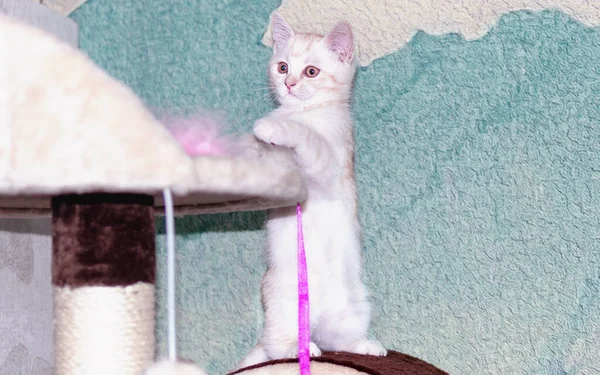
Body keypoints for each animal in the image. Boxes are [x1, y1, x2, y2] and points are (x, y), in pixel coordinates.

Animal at [237, 13, 386, 372]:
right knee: (278, 344)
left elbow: (308, 139)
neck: (307, 113)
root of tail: (315, 319)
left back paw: (366, 346)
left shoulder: (329, 161)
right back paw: (300, 347)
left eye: (311, 71)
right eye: (282, 67)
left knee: (338, 341)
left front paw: (272, 126)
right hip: (283, 301)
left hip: (355, 307)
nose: (289, 83)